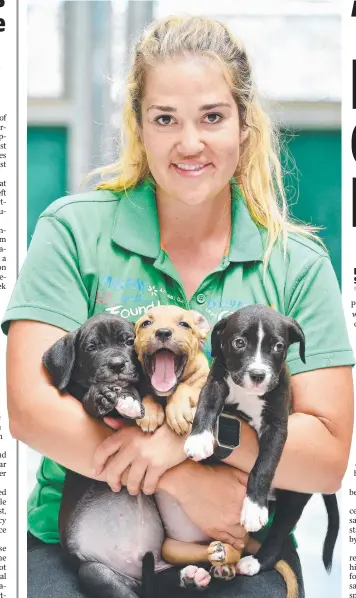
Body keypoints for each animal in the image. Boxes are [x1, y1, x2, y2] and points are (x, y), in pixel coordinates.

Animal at [134, 308, 211, 438]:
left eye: (184, 324)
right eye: (146, 323)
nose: (163, 332)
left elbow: (182, 387)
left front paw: (177, 411)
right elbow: (148, 393)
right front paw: (150, 411)